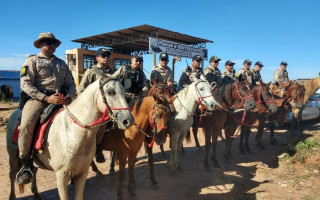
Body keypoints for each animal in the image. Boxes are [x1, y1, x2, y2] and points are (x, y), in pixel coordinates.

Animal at [6, 78, 134, 200]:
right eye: (110, 92)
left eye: (125, 93)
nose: (128, 120)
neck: (72, 132)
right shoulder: (61, 176)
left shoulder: (82, 173)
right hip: (13, 156)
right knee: (12, 175)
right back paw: (13, 194)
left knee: (34, 171)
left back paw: (36, 193)